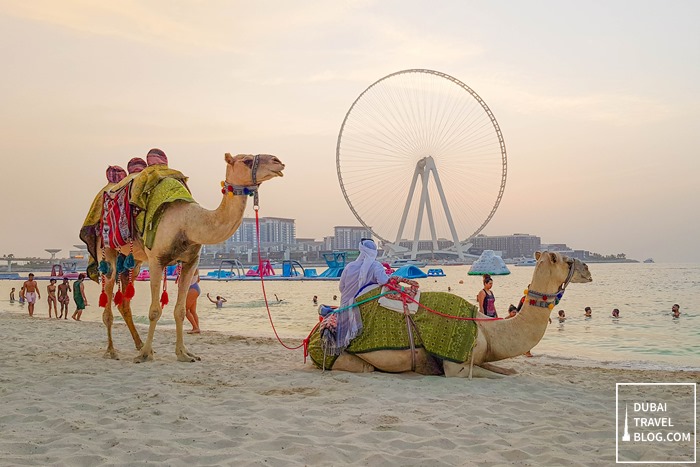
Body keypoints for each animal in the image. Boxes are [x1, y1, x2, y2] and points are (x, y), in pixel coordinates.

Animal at [88, 154, 284, 362]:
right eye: (246, 160)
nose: (277, 161)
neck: (188, 224)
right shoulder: (156, 259)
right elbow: (154, 311)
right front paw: (146, 355)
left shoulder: (191, 261)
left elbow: (180, 311)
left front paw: (183, 353)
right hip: (106, 248)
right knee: (108, 295)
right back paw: (112, 350)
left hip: (134, 262)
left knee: (125, 302)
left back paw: (138, 344)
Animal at [316, 250, 592, 378]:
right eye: (567, 261)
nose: (588, 269)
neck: (486, 329)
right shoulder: (456, 367)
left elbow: (509, 372)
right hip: (344, 359)